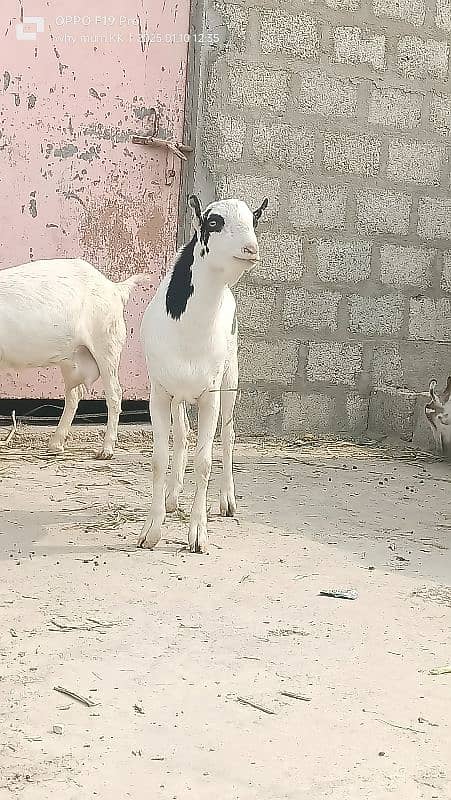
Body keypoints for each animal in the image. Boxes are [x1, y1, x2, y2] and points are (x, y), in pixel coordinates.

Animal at [0, 256, 144, 456]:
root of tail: (114, 288)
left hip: (107, 343)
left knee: (114, 393)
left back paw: (105, 451)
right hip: (71, 359)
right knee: (75, 394)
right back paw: (55, 445)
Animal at [137, 197, 264, 552]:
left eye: (254, 221)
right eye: (214, 222)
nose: (251, 249)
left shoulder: (211, 396)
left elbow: (205, 461)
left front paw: (197, 534)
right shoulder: (159, 393)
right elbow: (159, 460)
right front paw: (151, 531)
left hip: (231, 379)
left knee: (228, 436)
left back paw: (226, 501)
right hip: (178, 395)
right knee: (182, 434)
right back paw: (171, 498)